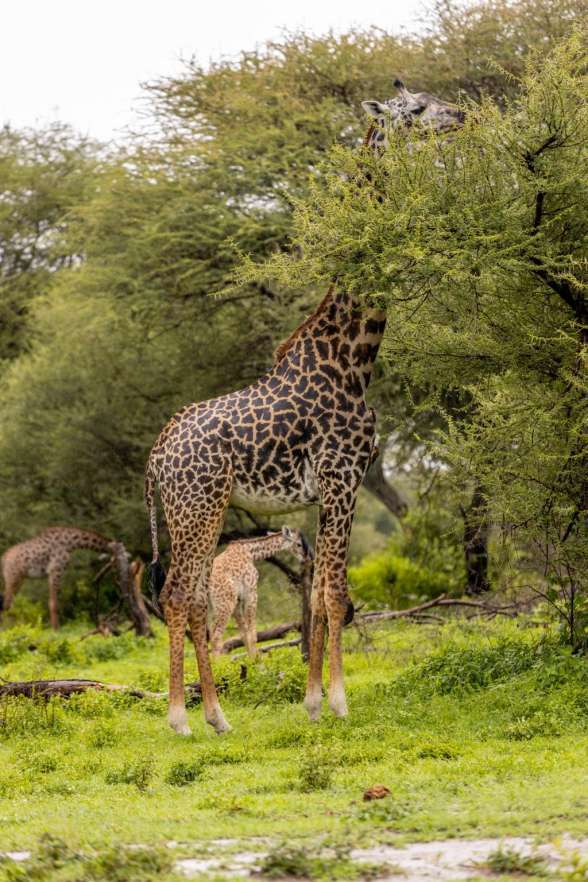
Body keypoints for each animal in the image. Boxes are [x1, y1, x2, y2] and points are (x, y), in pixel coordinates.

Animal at [0, 527, 130, 630]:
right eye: (120, 553)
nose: (126, 565)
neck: (71, 543)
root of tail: (4, 558)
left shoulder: (54, 573)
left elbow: (53, 602)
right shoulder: (55, 570)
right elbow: (53, 603)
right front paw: (56, 630)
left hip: (18, 579)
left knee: (8, 603)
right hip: (14, 577)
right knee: (6, 603)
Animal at [208, 526, 311, 658]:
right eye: (298, 544)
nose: (306, 558)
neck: (251, 553)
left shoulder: (238, 600)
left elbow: (244, 633)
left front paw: (250, 658)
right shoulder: (251, 592)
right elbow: (252, 633)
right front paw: (256, 659)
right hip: (225, 602)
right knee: (216, 635)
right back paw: (216, 663)